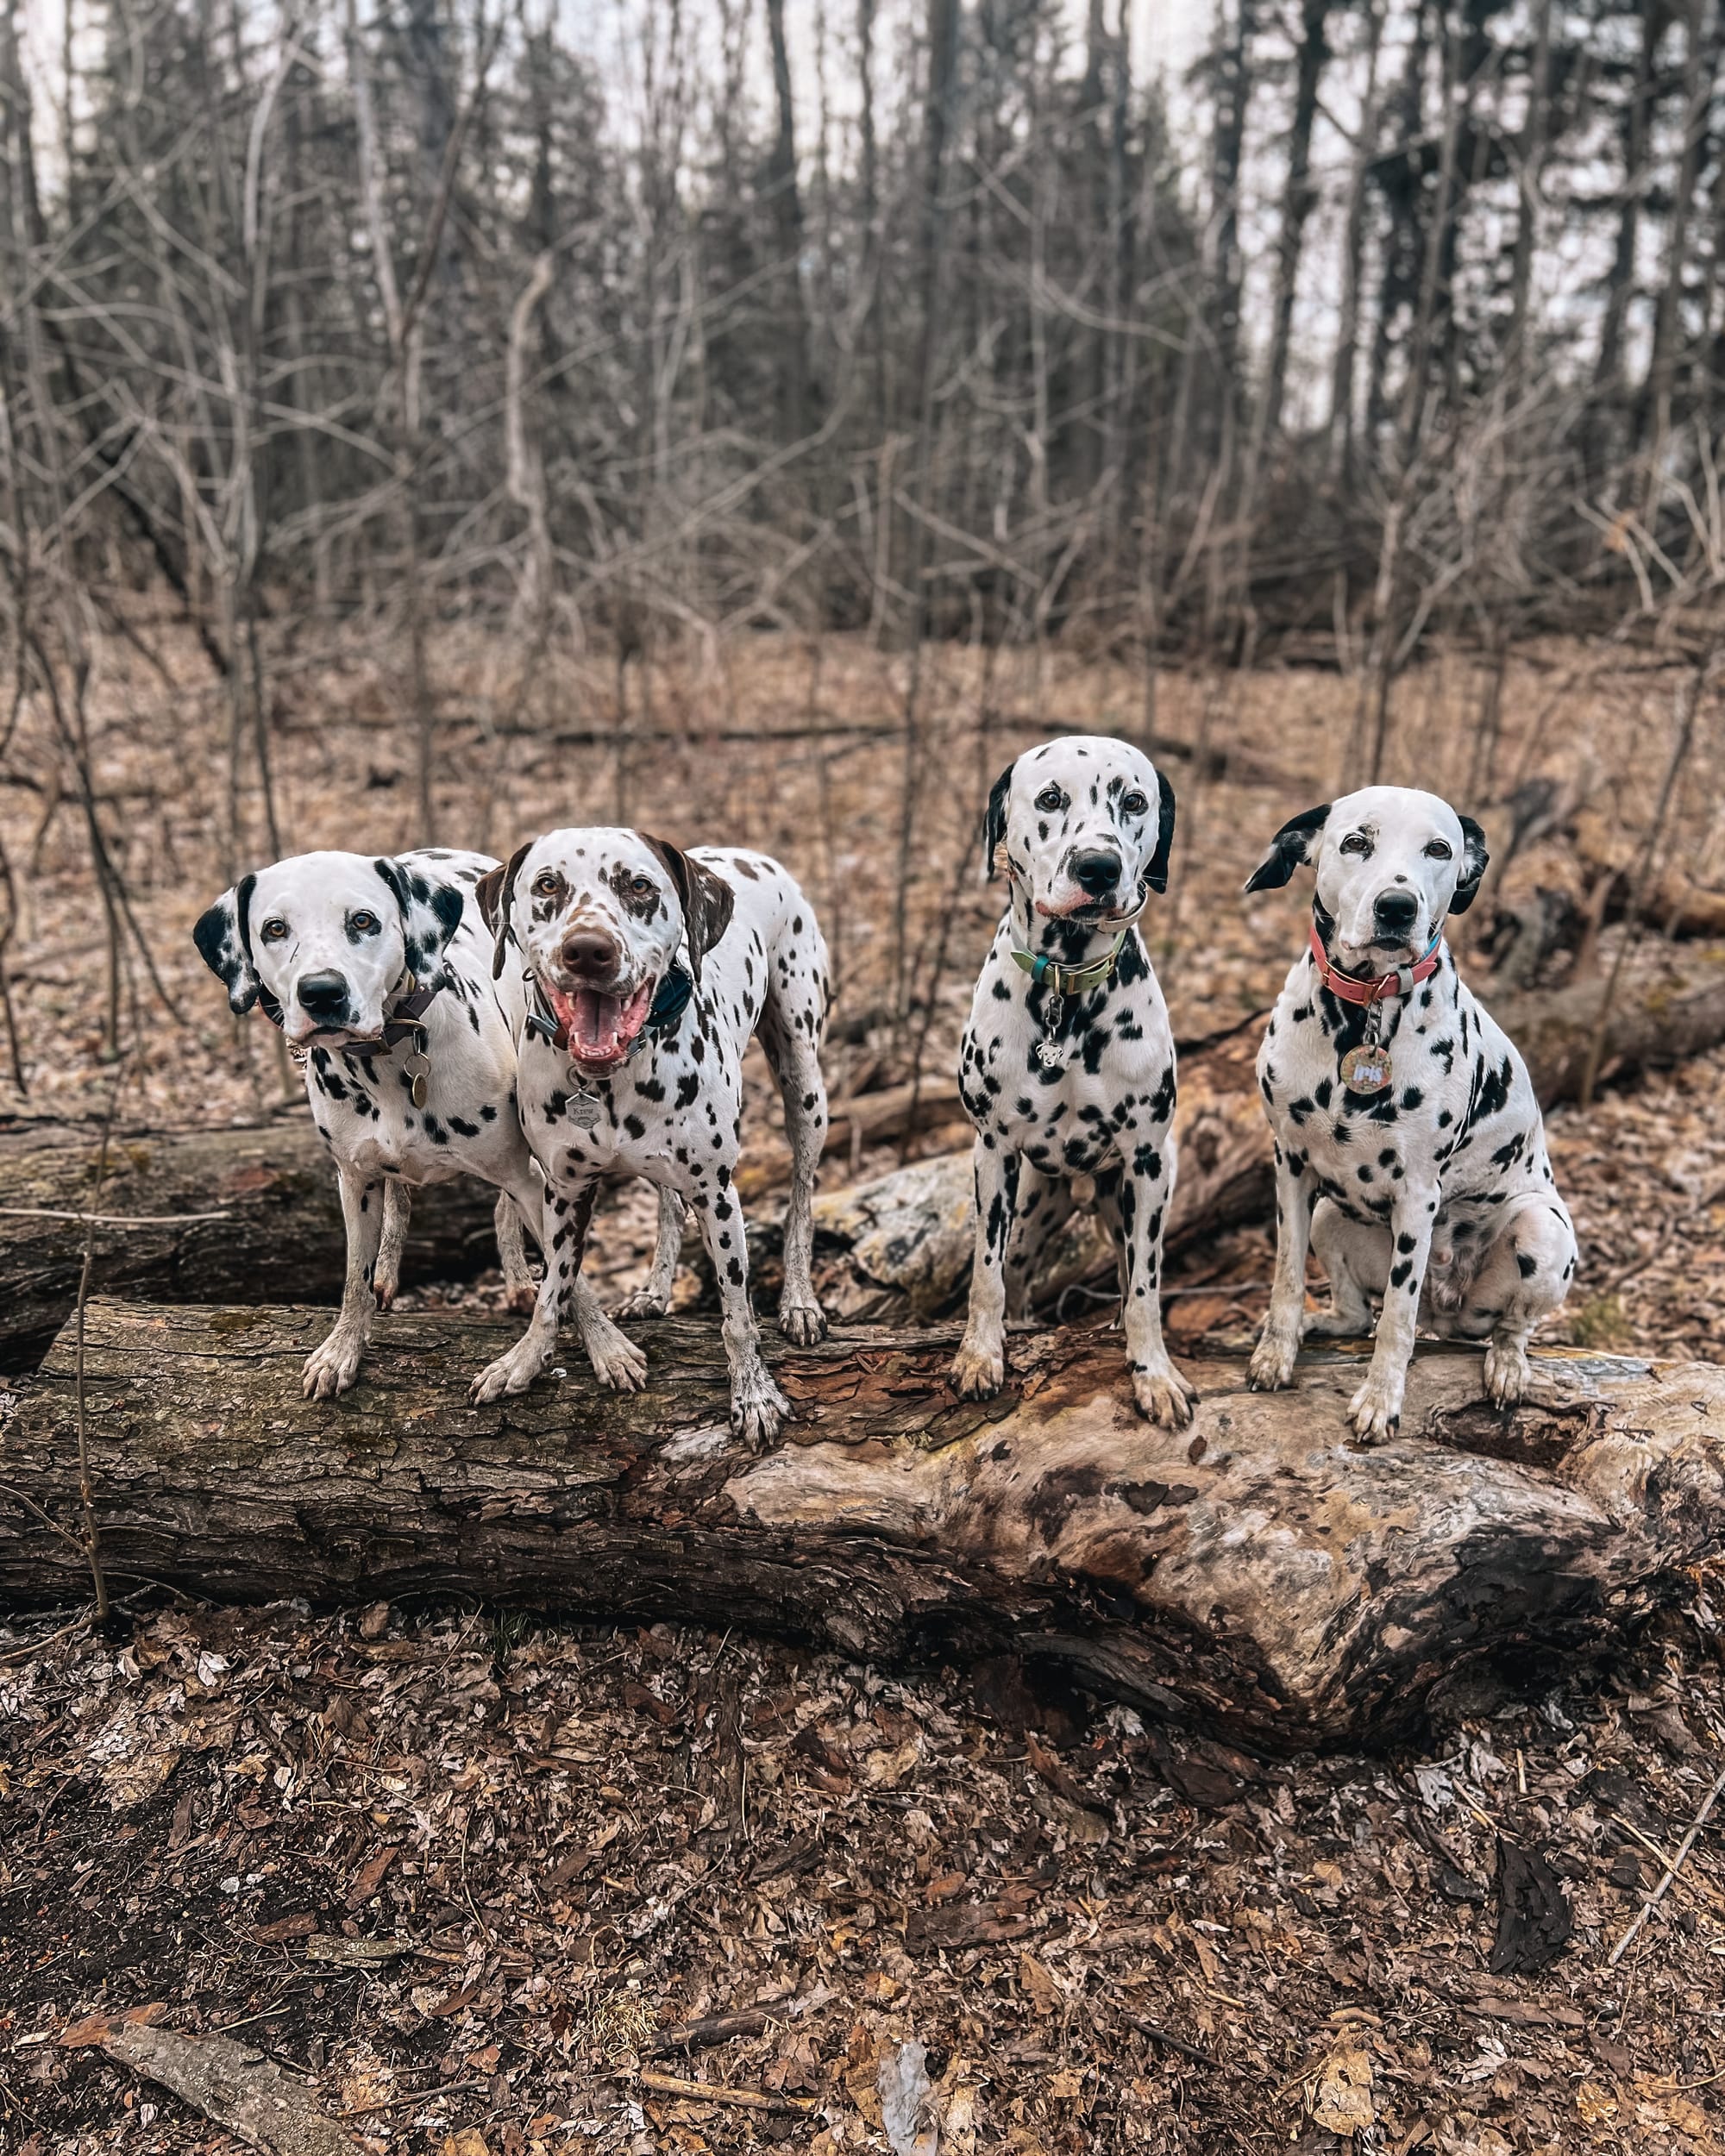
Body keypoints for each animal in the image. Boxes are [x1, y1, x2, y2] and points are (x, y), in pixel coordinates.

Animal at [191, 849, 668, 1406]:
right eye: (274, 928)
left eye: (363, 921)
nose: (322, 993)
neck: (387, 1061)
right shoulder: (354, 1182)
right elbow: (354, 1275)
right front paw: (342, 1348)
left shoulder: (531, 1176)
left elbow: (567, 1271)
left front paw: (606, 1346)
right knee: (401, 1203)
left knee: (509, 1206)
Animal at [466, 824, 828, 1449]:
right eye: (547, 885)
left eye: (638, 885)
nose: (588, 950)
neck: (607, 1080)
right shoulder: (564, 1193)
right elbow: (554, 1291)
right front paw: (526, 1360)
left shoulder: (717, 1193)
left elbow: (737, 1317)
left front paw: (753, 1394)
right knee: (667, 1203)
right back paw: (656, 1291)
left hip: (805, 1087)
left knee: (802, 1198)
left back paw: (799, 1300)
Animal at [949, 733, 1190, 1423]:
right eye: (1051, 798)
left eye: (1134, 802)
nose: (1098, 869)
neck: (1066, 990)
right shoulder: (994, 1154)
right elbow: (986, 1273)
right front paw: (980, 1355)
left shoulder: (1147, 1165)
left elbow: (1146, 1288)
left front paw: (1153, 1373)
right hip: (1032, 1206)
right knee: (1018, 1273)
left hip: (1131, 1197)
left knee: (1128, 1268)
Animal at [1242, 785, 1578, 1440]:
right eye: (1355, 842)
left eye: (1439, 848)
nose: (1396, 907)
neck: (1363, 1015)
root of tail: (1446, 1313)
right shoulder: (1291, 1170)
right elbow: (1286, 1277)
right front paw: (1276, 1351)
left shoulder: (1417, 1194)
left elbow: (1396, 1317)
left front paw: (1380, 1399)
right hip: (1331, 1217)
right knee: (1355, 1314)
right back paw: (1323, 1323)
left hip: (1543, 1230)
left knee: (1509, 1326)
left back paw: (1506, 1364)